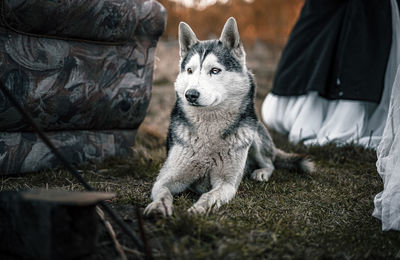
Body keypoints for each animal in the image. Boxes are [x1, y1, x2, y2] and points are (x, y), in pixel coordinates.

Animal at [145, 17, 316, 216]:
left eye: (215, 70)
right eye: (189, 70)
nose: (190, 94)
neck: (209, 129)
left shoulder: (226, 184)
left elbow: (209, 195)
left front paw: (198, 209)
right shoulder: (166, 178)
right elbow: (163, 192)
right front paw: (158, 207)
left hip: (254, 138)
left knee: (270, 163)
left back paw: (261, 172)